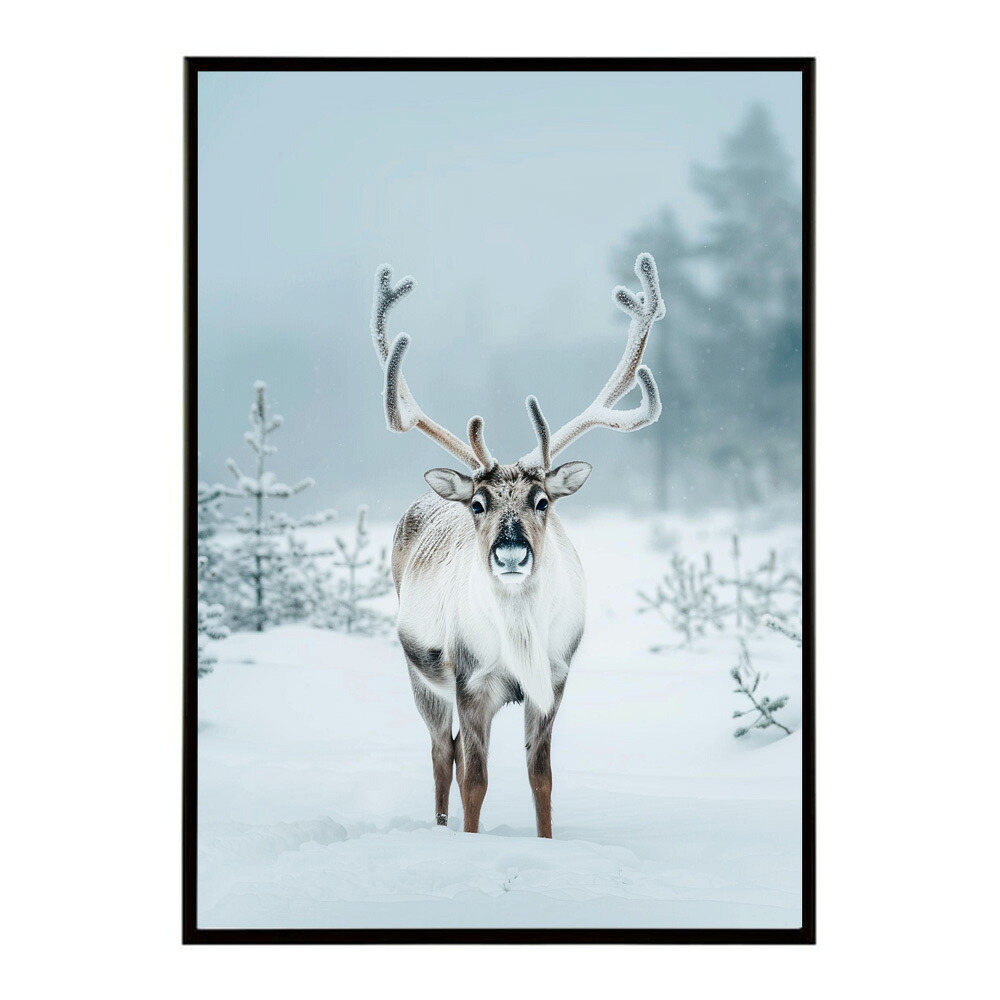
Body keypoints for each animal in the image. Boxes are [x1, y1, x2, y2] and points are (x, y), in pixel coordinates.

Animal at [369, 252, 666, 838]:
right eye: (478, 504)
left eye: (543, 500)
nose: (511, 552)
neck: (520, 639)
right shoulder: (470, 681)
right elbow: (474, 780)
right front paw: (470, 841)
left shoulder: (554, 678)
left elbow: (541, 777)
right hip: (421, 676)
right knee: (442, 754)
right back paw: (440, 827)